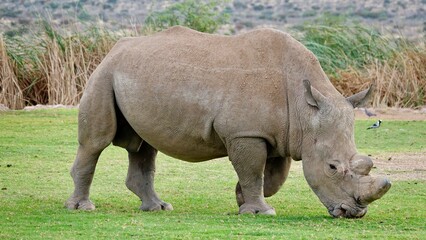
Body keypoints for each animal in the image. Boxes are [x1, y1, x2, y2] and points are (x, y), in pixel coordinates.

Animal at [65, 25, 390, 218]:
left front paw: (241, 199)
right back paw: (82, 208)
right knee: (96, 142)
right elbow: (254, 172)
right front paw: (260, 212)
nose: (354, 212)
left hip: (135, 74)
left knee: (144, 146)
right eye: (332, 168)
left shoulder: (281, 135)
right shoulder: (245, 133)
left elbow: (271, 177)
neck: (305, 111)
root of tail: (114, 48)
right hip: (104, 73)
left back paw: (158, 208)